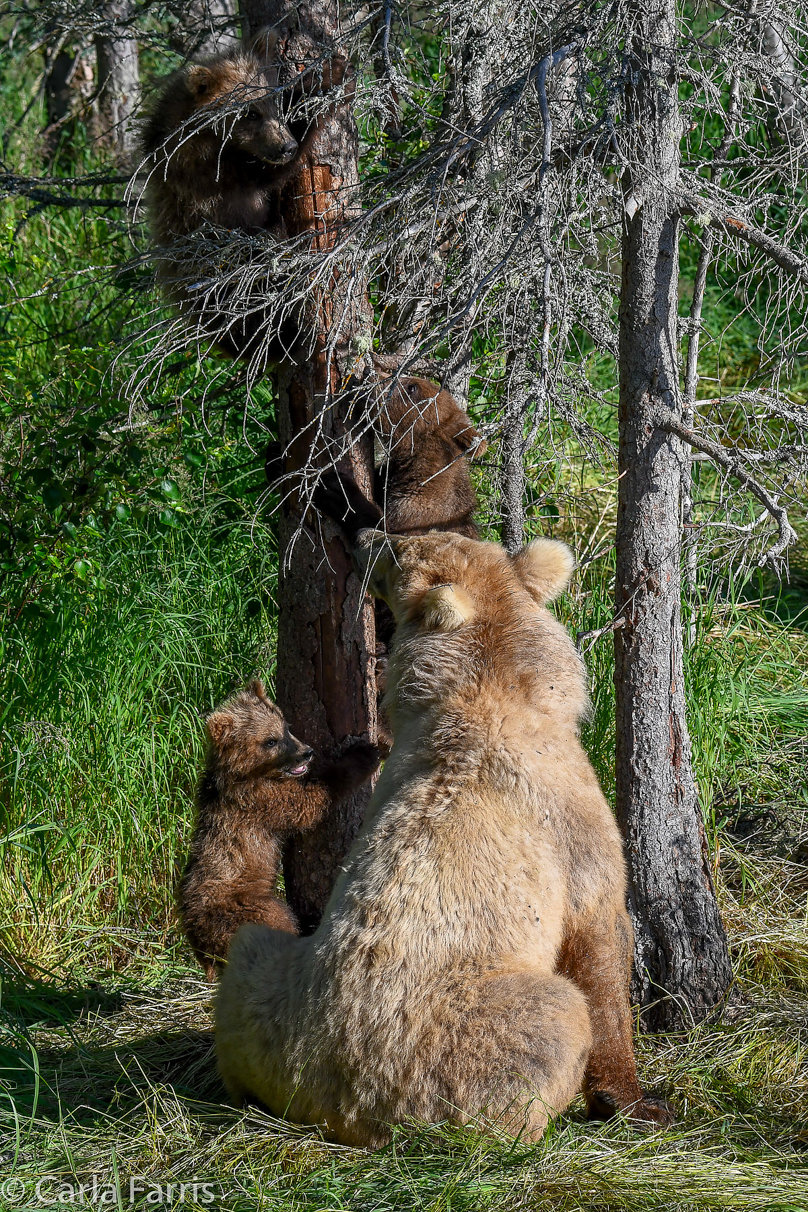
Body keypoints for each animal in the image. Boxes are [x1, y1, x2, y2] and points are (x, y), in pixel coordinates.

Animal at [180, 678, 380, 979]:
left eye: (286, 727)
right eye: (270, 741)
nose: (307, 752)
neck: (247, 774)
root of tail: (205, 946)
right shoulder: (260, 801)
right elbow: (310, 803)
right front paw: (365, 752)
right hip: (250, 907)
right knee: (279, 922)